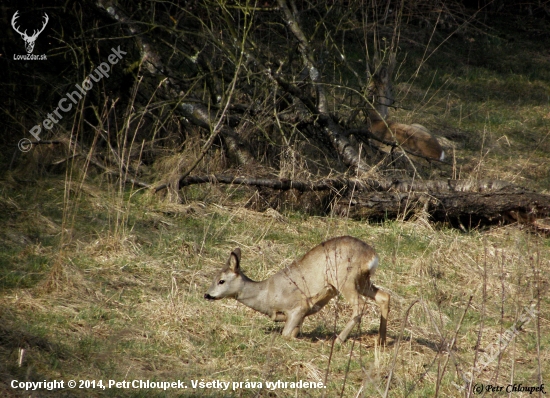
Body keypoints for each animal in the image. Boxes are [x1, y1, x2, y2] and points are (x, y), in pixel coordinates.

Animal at [205, 236, 390, 346]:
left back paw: (338, 340)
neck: (266, 295)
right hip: (362, 281)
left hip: (345, 279)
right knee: (384, 296)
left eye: (221, 281)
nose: (207, 294)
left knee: (359, 306)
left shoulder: (297, 307)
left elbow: (286, 334)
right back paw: (381, 340)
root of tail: (372, 256)